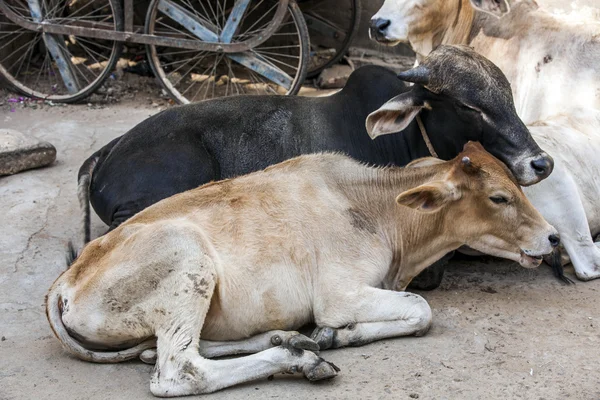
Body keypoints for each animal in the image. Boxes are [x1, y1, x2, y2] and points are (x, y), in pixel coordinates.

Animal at [47, 142, 556, 396]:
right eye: (499, 197)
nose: (552, 238)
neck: (377, 209)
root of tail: (65, 281)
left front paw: (334, 335)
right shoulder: (339, 294)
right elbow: (421, 309)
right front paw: (337, 335)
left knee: (181, 349)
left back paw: (289, 338)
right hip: (187, 262)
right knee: (180, 371)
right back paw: (299, 358)